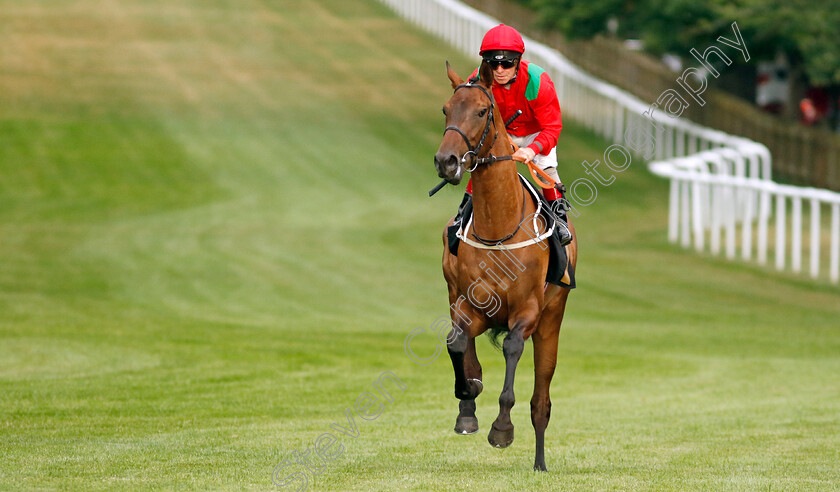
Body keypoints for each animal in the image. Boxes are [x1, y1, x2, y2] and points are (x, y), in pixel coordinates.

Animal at [434, 61, 576, 472]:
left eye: (483, 111)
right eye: (446, 110)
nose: (446, 161)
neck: (499, 228)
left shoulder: (527, 310)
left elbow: (513, 347)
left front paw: (501, 428)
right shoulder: (468, 301)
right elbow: (456, 341)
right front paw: (467, 402)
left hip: (551, 323)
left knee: (541, 401)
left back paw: (540, 463)